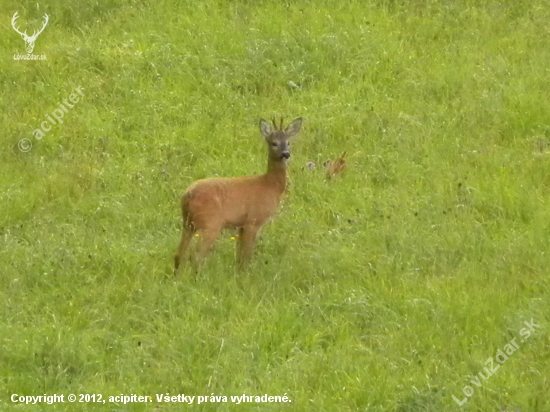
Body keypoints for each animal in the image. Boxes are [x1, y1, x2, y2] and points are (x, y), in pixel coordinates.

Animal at [174, 116, 304, 274]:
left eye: (288, 142)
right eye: (274, 143)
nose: (286, 154)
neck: (270, 186)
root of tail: (187, 195)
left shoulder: (242, 224)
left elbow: (239, 257)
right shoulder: (253, 221)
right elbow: (246, 256)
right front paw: (246, 275)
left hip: (188, 223)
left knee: (179, 254)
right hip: (210, 224)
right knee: (195, 256)